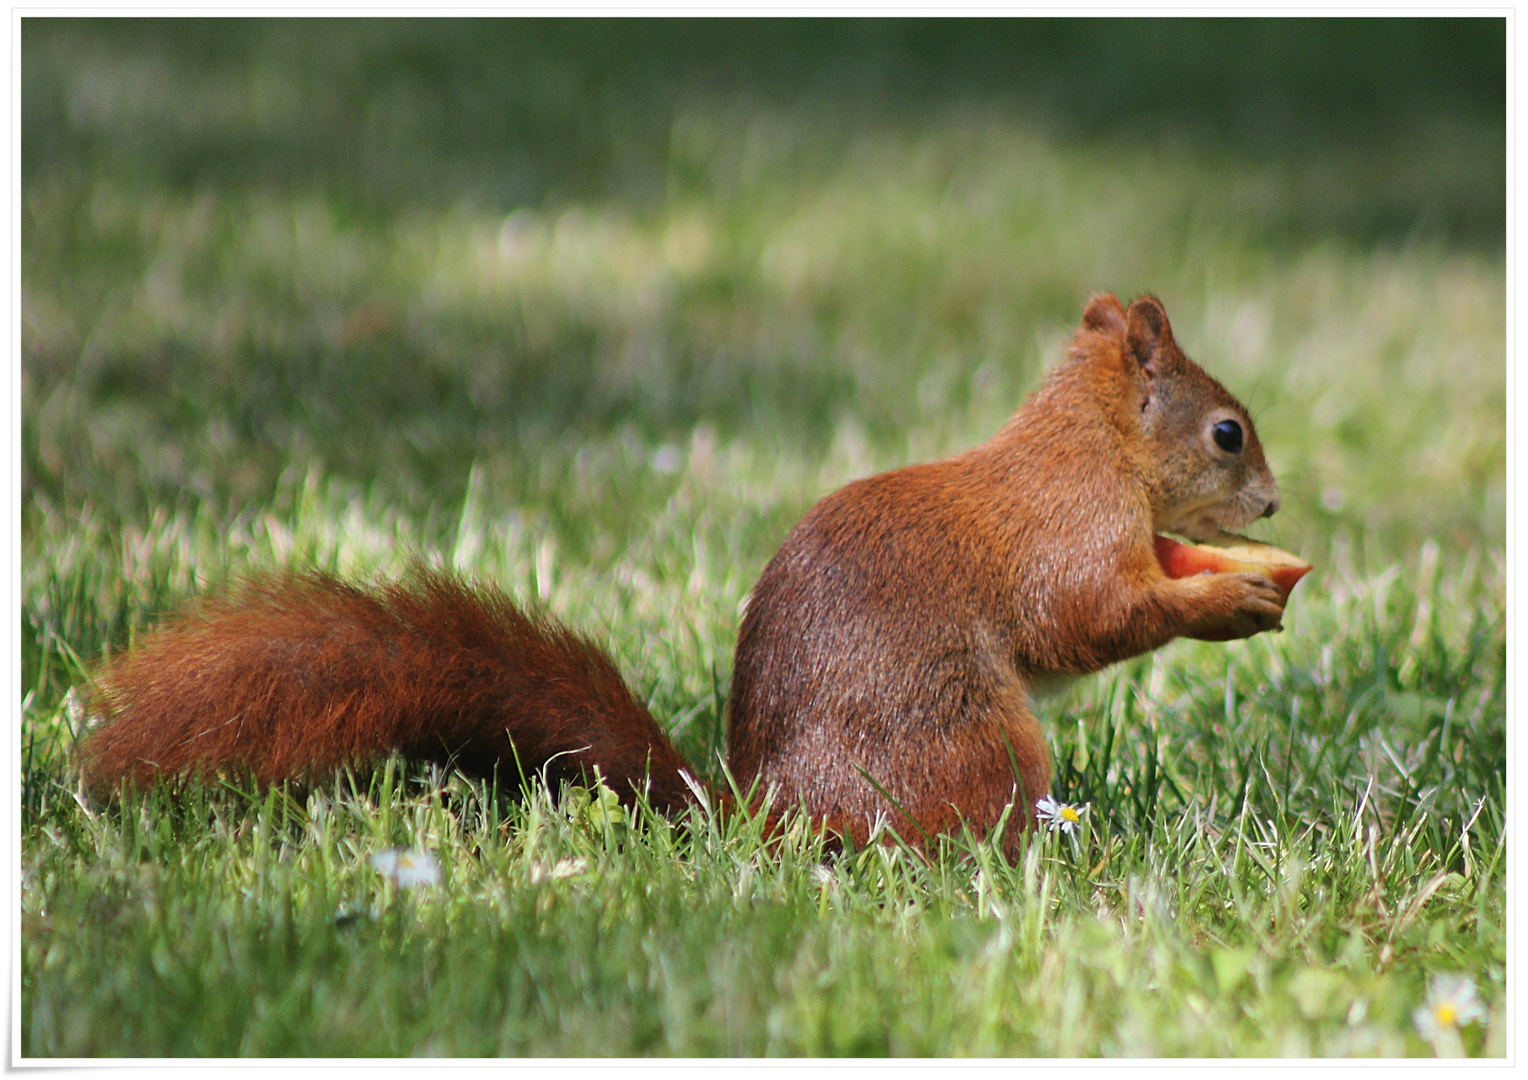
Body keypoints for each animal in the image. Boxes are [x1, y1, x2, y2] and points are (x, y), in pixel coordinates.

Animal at [77, 293, 1283, 855]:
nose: (1272, 506)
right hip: (971, 740)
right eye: (1227, 434)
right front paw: (1227, 596)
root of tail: (764, 817)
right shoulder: (1064, 537)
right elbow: (1089, 616)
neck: (1090, 445)